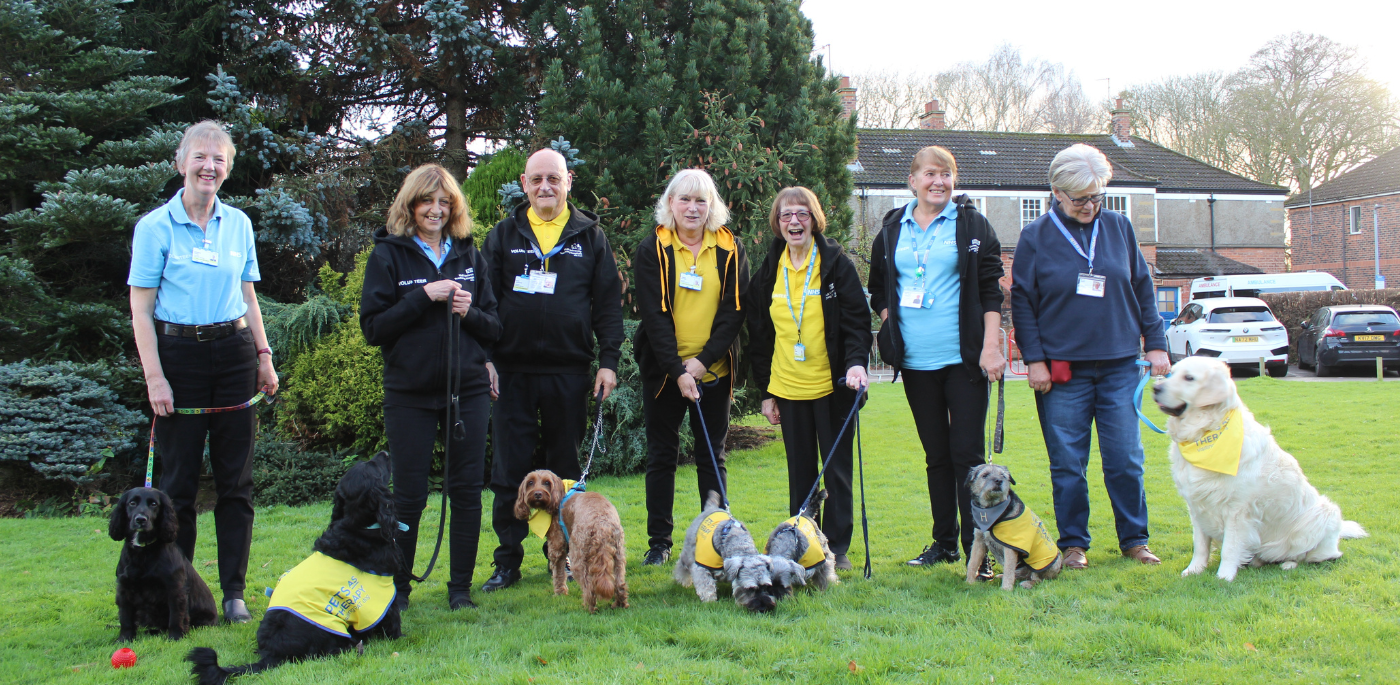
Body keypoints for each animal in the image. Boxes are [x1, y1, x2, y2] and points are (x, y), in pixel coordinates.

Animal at [109, 484, 218, 641]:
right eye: (132, 503)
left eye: (154, 504)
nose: (140, 519)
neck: (144, 550)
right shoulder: (125, 587)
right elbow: (125, 616)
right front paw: (124, 638)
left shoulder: (175, 588)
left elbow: (176, 616)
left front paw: (176, 637)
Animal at [189, 451, 403, 680]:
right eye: (373, 466)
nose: (385, 453)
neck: (357, 526)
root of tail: (272, 652)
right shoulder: (381, 595)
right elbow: (391, 621)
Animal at [672, 487, 806, 610]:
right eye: (750, 588)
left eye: (766, 586)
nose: (764, 607)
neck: (738, 544)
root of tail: (711, 508)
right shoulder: (701, 567)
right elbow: (706, 585)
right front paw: (710, 601)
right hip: (689, 552)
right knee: (681, 564)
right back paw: (682, 581)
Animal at [968, 462, 1064, 591]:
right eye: (985, 475)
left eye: (1003, 475)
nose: (999, 480)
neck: (992, 510)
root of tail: (1060, 569)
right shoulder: (979, 541)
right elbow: (972, 563)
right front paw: (969, 582)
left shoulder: (1010, 546)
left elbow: (1009, 569)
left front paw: (1006, 589)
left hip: (1039, 564)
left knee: (1038, 579)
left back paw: (1028, 583)